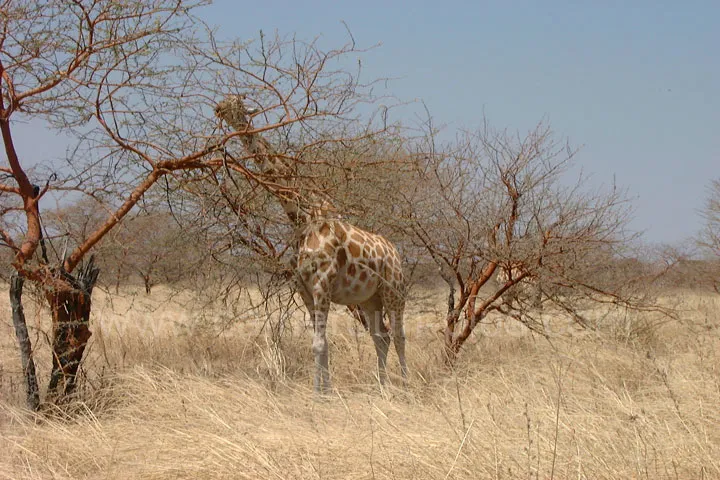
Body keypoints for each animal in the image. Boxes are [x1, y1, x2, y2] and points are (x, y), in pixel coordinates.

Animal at [214, 95, 408, 392]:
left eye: (235, 102)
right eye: (225, 101)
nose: (218, 109)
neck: (301, 217)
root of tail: (396, 253)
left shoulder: (322, 283)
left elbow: (319, 344)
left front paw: (319, 394)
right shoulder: (304, 288)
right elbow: (320, 344)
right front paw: (324, 392)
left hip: (393, 291)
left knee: (398, 336)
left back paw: (407, 386)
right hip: (369, 298)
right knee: (381, 336)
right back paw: (382, 386)